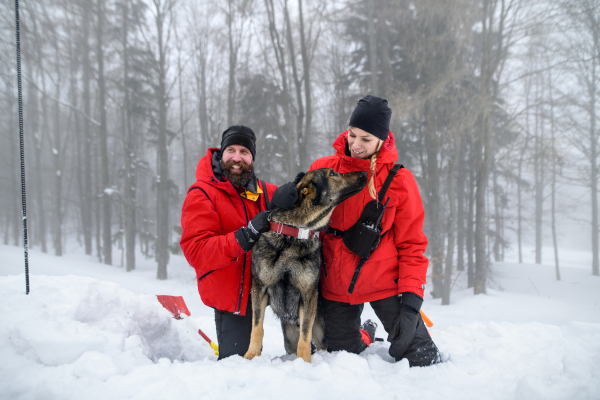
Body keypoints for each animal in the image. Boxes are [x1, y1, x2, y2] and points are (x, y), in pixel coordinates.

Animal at [243, 169, 366, 362]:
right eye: (333, 173)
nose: (364, 172)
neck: (293, 234)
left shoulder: (308, 294)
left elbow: (305, 335)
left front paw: (304, 362)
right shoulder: (259, 287)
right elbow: (257, 326)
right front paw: (251, 355)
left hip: (320, 331)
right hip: (289, 336)